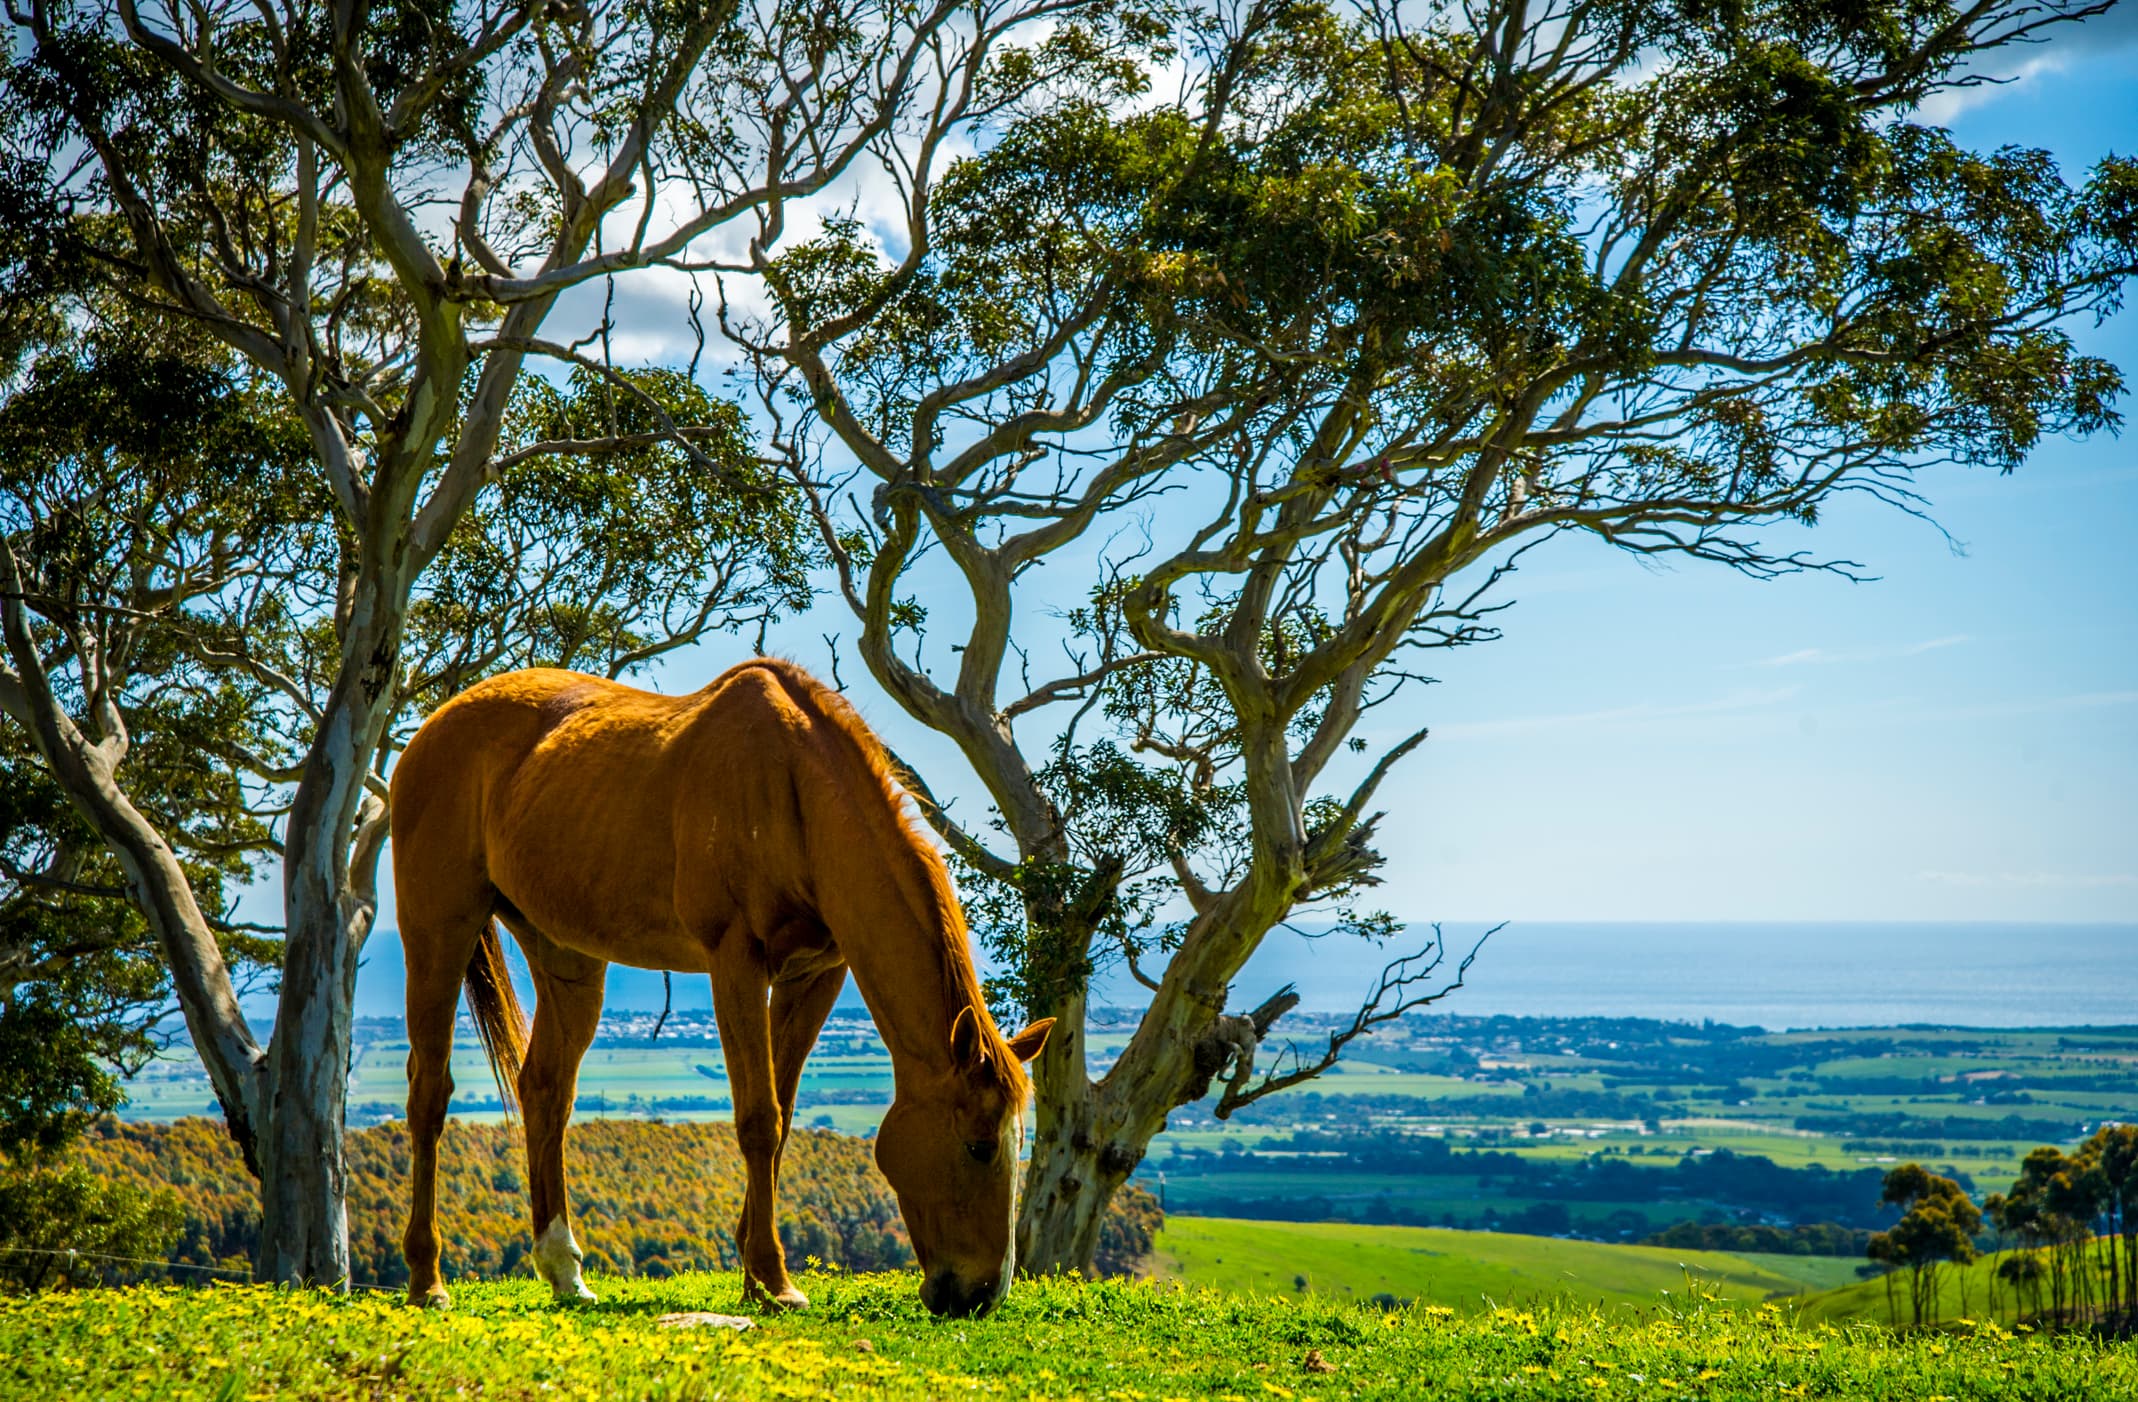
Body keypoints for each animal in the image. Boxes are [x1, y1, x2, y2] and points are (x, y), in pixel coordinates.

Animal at [389, 658, 1052, 1318]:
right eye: (979, 1146)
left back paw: (564, 1271)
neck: (796, 795)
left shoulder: (815, 975)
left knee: (546, 1091)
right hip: (438, 929)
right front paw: (775, 1279)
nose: (982, 1293)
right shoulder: (736, 962)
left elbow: (782, 1114)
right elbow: (759, 1118)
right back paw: (427, 1278)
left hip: (566, 956)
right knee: (430, 1094)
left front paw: (755, 1277)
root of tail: (431, 731)